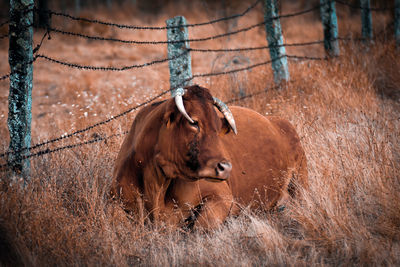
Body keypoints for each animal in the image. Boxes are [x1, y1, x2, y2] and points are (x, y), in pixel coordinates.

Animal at [111, 86, 308, 230]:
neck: (155, 185)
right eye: (193, 122)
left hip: (300, 179)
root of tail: (277, 121)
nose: (225, 168)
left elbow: (200, 227)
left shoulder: (223, 197)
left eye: (217, 127)